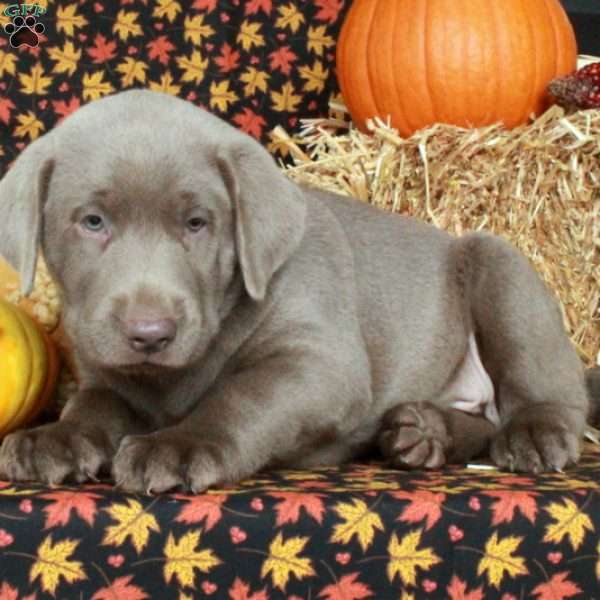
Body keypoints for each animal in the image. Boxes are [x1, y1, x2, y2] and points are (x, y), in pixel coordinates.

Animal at [0, 90, 592, 492]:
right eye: (92, 222)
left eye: (197, 223)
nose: (150, 335)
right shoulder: (109, 373)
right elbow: (94, 404)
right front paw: (55, 438)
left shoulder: (319, 364)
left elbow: (242, 395)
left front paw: (181, 446)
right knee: (482, 422)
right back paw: (424, 432)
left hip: (501, 268)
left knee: (549, 396)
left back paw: (534, 432)